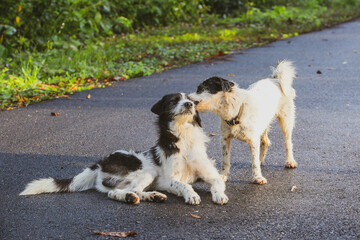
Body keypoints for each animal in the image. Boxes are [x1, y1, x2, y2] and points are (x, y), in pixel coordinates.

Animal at [19, 93, 228, 205]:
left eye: (190, 100)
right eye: (173, 100)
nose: (189, 104)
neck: (184, 137)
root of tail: (100, 163)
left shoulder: (210, 173)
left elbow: (218, 183)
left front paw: (219, 195)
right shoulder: (170, 179)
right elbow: (184, 185)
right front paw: (192, 195)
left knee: (117, 192)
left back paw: (142, 196)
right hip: (146, 171)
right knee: (127, 190)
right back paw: (141, 196)